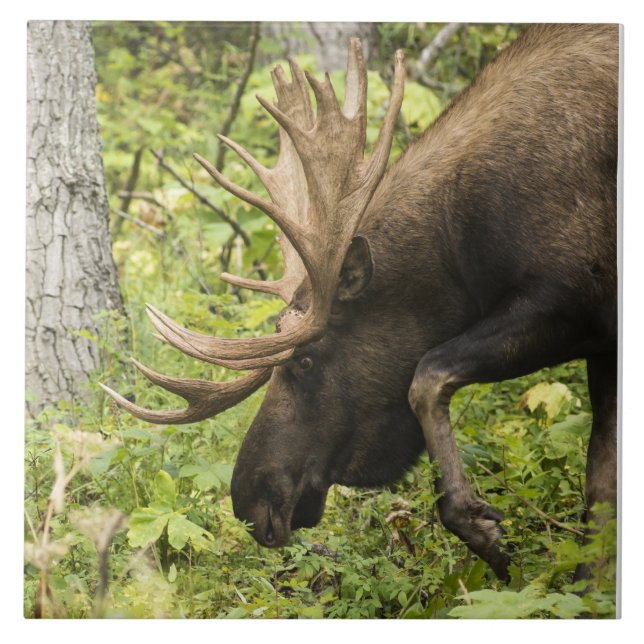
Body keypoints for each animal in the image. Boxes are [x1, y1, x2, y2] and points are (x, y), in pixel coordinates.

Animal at [101, 24, 618, 582]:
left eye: (305, 360)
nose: (250, 502)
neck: (464, 246)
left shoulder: (573, 299)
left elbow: (427, 375)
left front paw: (485, 531)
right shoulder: (598, 338)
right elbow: (601, 489)